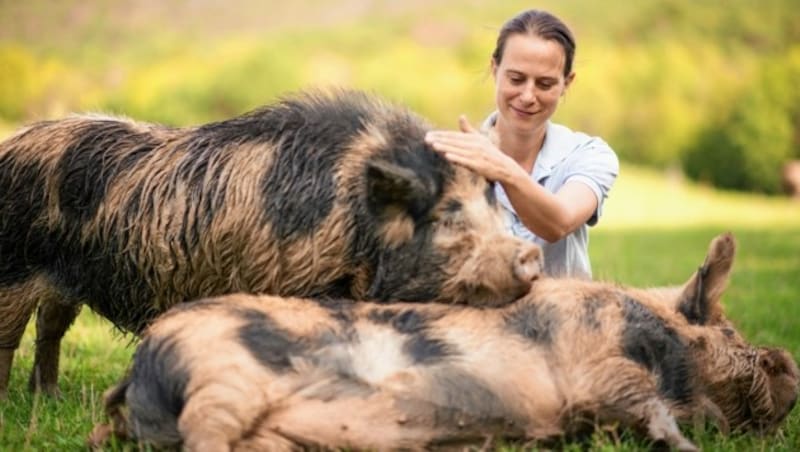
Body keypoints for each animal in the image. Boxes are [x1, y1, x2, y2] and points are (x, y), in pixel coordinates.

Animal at [89, 235, 800, 450]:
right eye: (732, 331)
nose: (787, 359)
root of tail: (140, 367)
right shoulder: (596, 367)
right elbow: (648, 408)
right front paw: (687, 445)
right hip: (222, 368)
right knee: (203, 434)